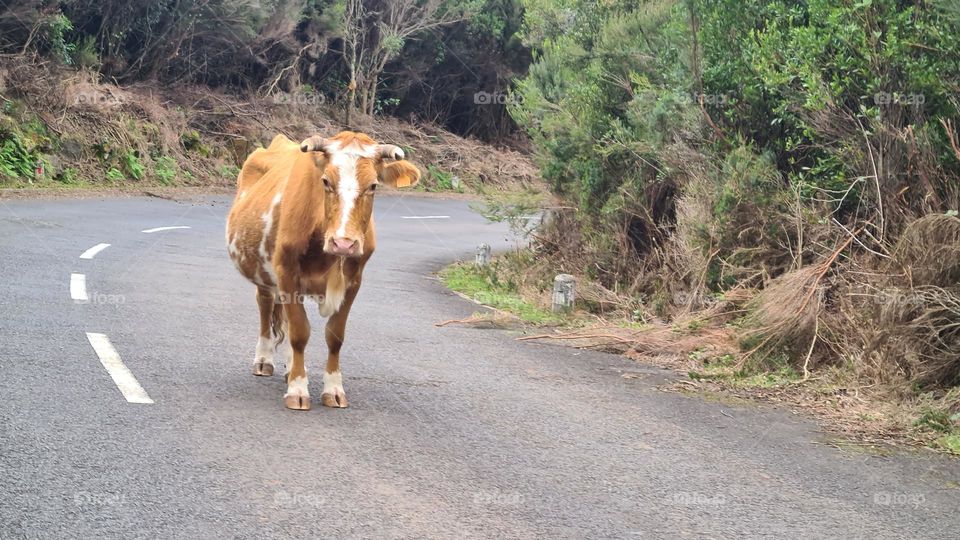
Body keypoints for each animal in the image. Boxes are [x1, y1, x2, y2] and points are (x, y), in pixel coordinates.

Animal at [225, 131, 421, 410]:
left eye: (373, 185)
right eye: (326, 181)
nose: (344, 243)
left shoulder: (354, 281)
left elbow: (335, 336)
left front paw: (333, 389)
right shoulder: (286, 272)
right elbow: (299, 333)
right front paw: (297, 389)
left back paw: (289, 366)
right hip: (263, 272)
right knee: (265, 306)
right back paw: (264, 360)